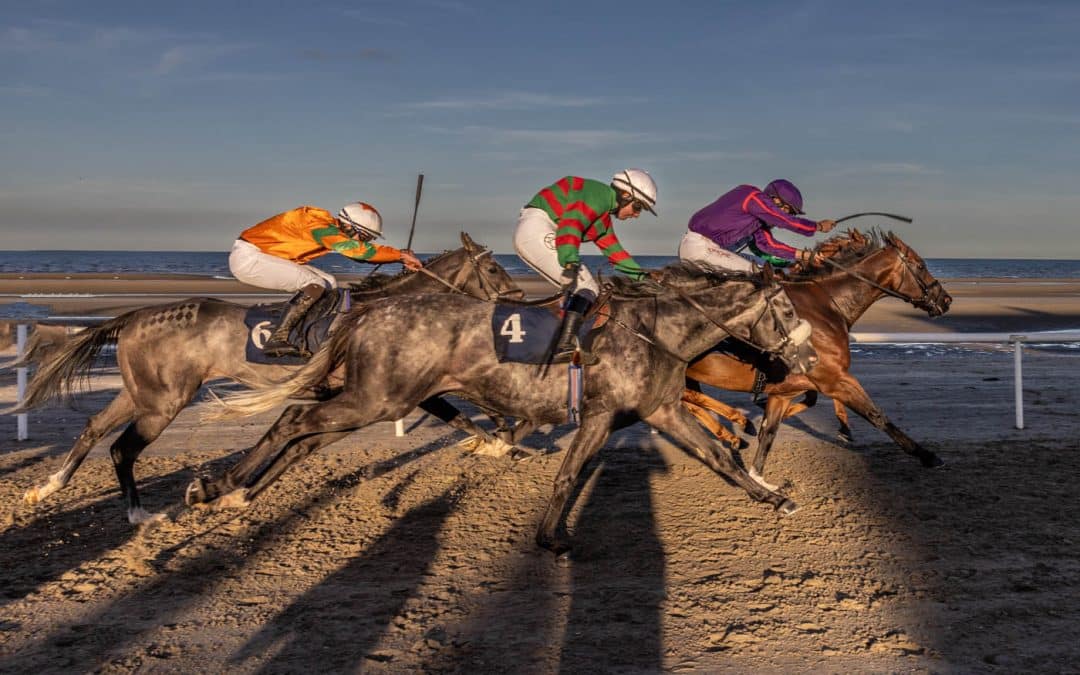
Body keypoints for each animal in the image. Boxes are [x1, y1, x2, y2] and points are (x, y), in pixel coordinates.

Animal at [13, 234, 522, 524]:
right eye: (493, 267)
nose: (517, 297)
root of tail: (135, 315)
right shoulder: (390, 389)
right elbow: (459, 409)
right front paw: (497, 439)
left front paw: (500, 437)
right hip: (164, 401)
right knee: (122, 447)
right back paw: (141, 516)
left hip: (141, 393)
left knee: (94, 428)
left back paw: (49, 487)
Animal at [185, 262, 812, 552]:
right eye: (785, 310)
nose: (806, 357)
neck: (657, 331)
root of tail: (365, 313)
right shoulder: (601, 414)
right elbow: (568, 474)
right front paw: (551, 536)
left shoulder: (663, 411)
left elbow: (721, 457)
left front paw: (774, 497)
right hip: (377, 397)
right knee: (295, 421)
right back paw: (218, 486)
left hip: (373, 398)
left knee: (305, 437)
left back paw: (237, 491)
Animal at [682, 227, 954, 490]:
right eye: (920, 265)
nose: (946, 299)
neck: (826, 306)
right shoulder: (835, 378)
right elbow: (875, 414)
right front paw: (927, 455)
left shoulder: (788, 389)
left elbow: (770, 430)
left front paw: (759, 476)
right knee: (690, 399)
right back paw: (737, 423)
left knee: (691, 400)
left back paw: (734, 431)